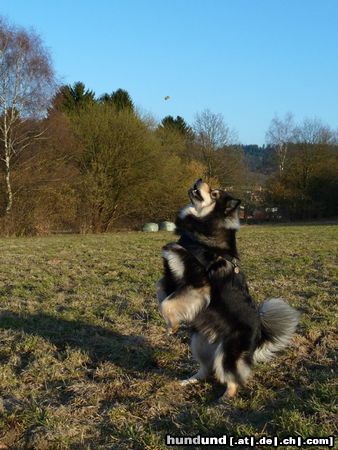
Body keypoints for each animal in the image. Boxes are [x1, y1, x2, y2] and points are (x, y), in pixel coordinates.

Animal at [157, 178, 300, 400]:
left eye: (214, 194)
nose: (199, 180)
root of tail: (260, 333)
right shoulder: (171, 277)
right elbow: (163, 294)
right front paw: (170, 321)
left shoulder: (198, 284)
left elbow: (167, 303)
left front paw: (171, 325)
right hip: (199, 342)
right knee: (206, 369)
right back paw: (189, 380)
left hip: (227, 353)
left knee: (232, 379)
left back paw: (224, 399)